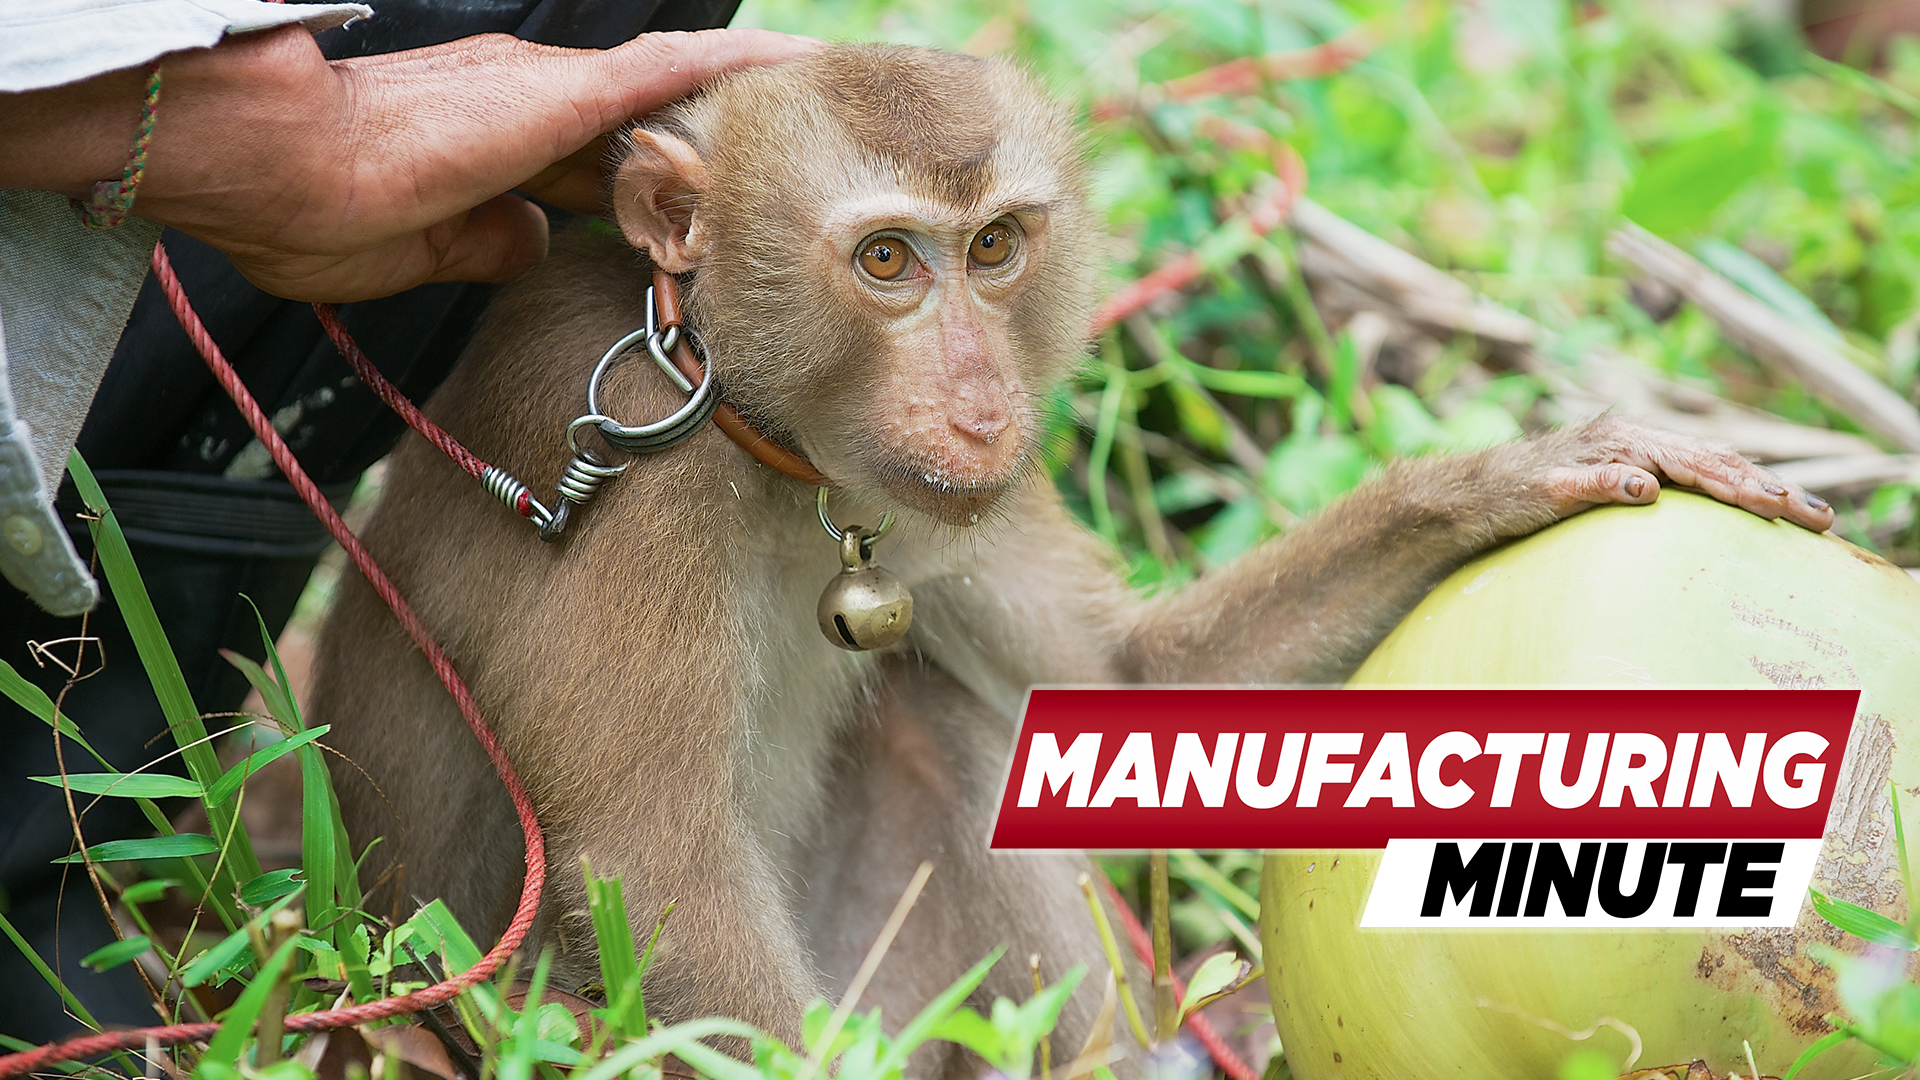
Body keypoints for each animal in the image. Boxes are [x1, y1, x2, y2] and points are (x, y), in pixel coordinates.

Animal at [308, 42, 1833, 1068]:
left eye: (994, 247)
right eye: (885, 261)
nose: (985, 402)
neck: (754, 433)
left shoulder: (935, 495)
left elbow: (1127, 686)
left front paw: (1495, 482)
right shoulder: (639, 481)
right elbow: (658, 869)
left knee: (937, 724)